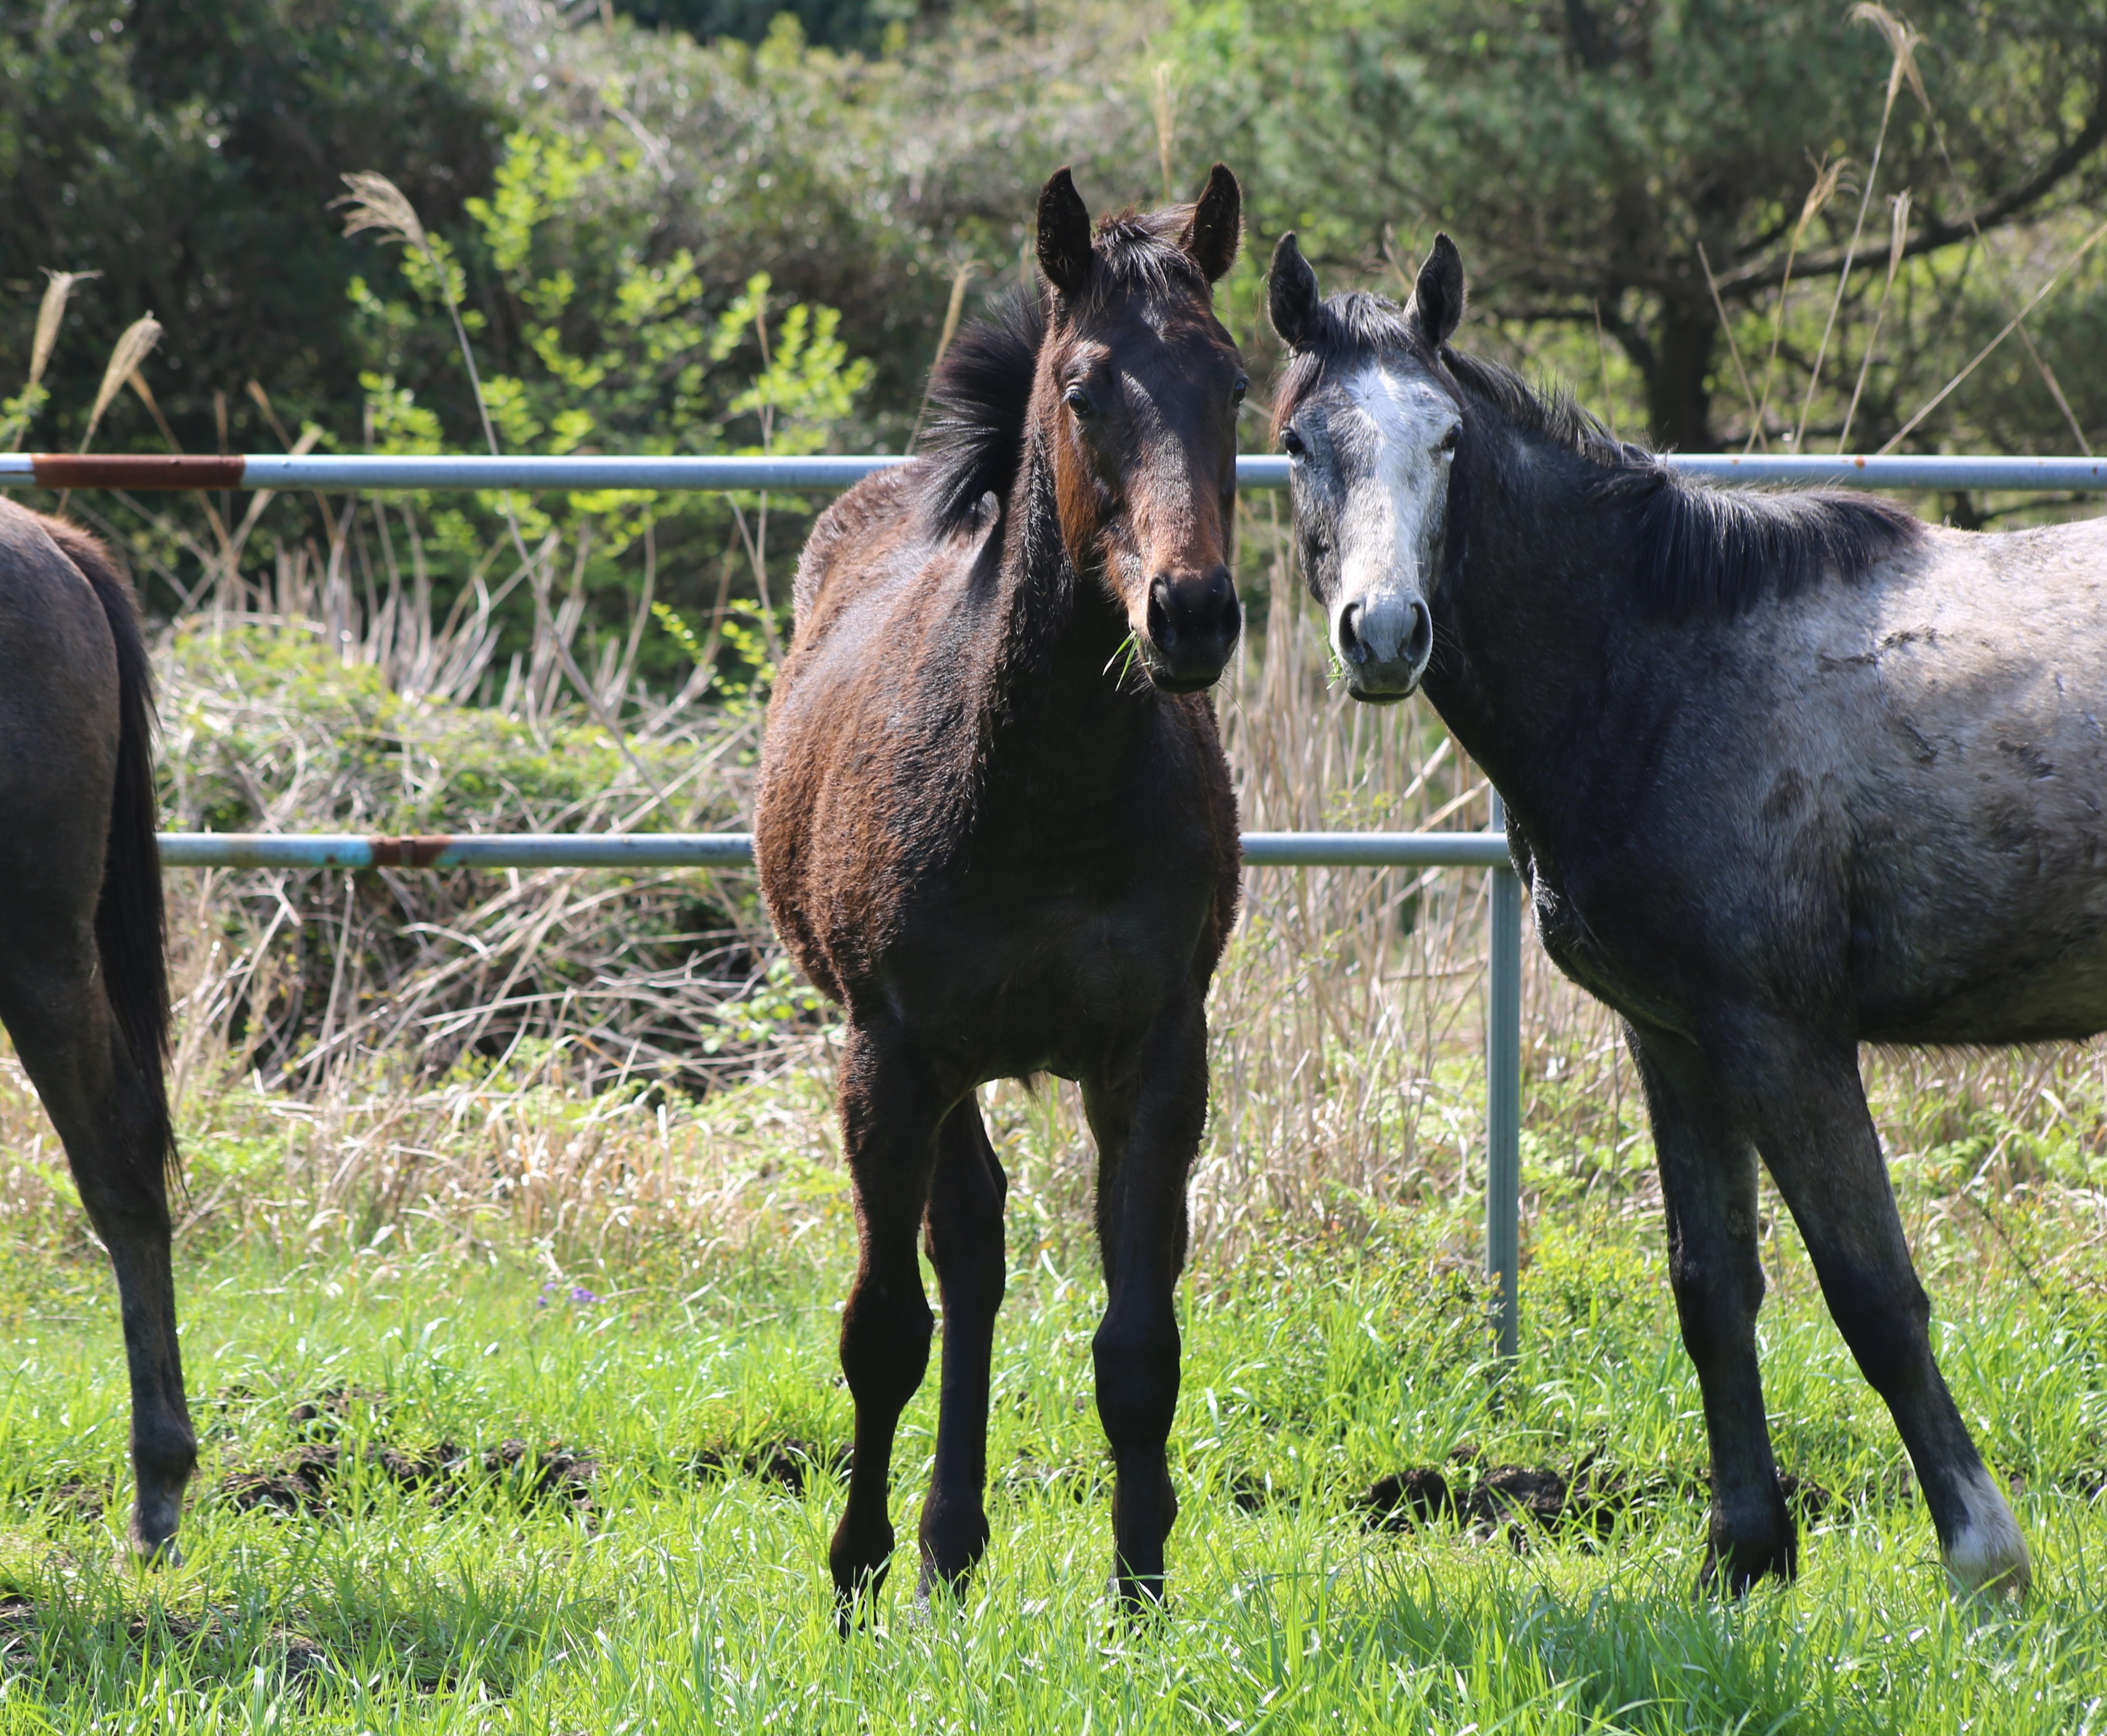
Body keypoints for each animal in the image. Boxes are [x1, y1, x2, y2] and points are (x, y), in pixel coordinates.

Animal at [762, 169, 1239, 1618]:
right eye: (1084, 388)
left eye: (1234, 381)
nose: (1193, 612)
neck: (1043, 783)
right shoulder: (891, 1050)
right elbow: (881, 1328)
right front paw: (854, 1567)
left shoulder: (1157, 1057)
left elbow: (1138, 1344)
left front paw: (1141, 1586)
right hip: (934, 1063)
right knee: (961, 1260)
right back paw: (932, 1545)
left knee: (987, 1254)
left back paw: (956, 1539)